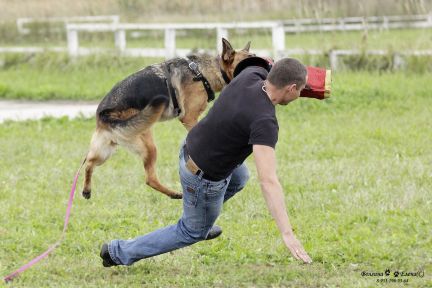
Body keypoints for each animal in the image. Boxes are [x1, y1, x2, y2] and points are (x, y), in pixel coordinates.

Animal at [81, 38, 253, 200]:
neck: (204, 73)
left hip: (106, 150)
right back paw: (174, 193)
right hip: (148, 144)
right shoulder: (189, 117)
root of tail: (104, 113)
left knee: (88, 162)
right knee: (150, 179)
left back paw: (86, 190)